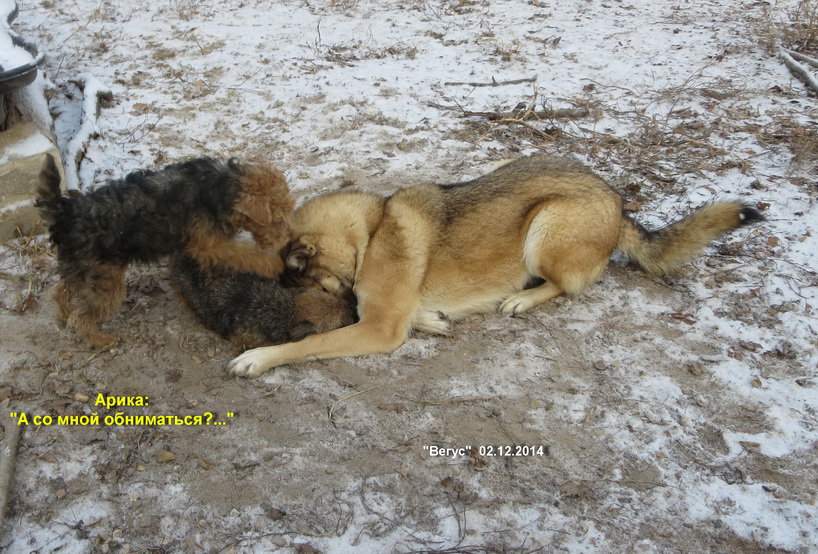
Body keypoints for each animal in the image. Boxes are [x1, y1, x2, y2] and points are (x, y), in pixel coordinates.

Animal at [36, 154, 294, 348]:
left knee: (59, 292)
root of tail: (65, 212)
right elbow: (245, 254)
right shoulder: (207, 246)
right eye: (277, 218)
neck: (223, 187)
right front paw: (273, 265)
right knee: (82, 316)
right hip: (104, 280)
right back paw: (100, 340)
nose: (288, 239)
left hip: (81, 269)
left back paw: (64, 315)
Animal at [227, 155, 763, 377]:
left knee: (573, 284)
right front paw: (431, 318)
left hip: (545, 226)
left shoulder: (378, 328)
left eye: (304, 283)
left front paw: (260, 356)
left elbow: (309, 344)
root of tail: (617, 203)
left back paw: (523, 297)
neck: (372, 231)